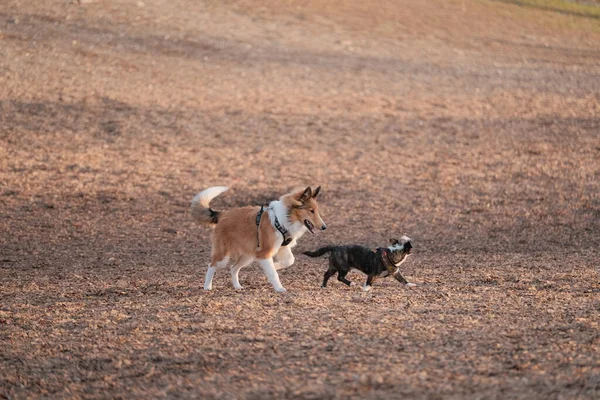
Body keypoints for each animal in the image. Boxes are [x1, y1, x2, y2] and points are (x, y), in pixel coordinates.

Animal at [191, 186, 324, 292]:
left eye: (317, 211)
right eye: (311, 211)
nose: (324, 227)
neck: (285, 218)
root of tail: (223, 214)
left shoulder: (282, 247)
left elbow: (290, 260)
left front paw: (275, 266)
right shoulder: (264, 253)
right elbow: (273, 273)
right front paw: (279, 288)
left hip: (247, 255)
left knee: (233, 268)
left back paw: (237, 286)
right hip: (223, 255)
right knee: (211, 265)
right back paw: (207, 286)